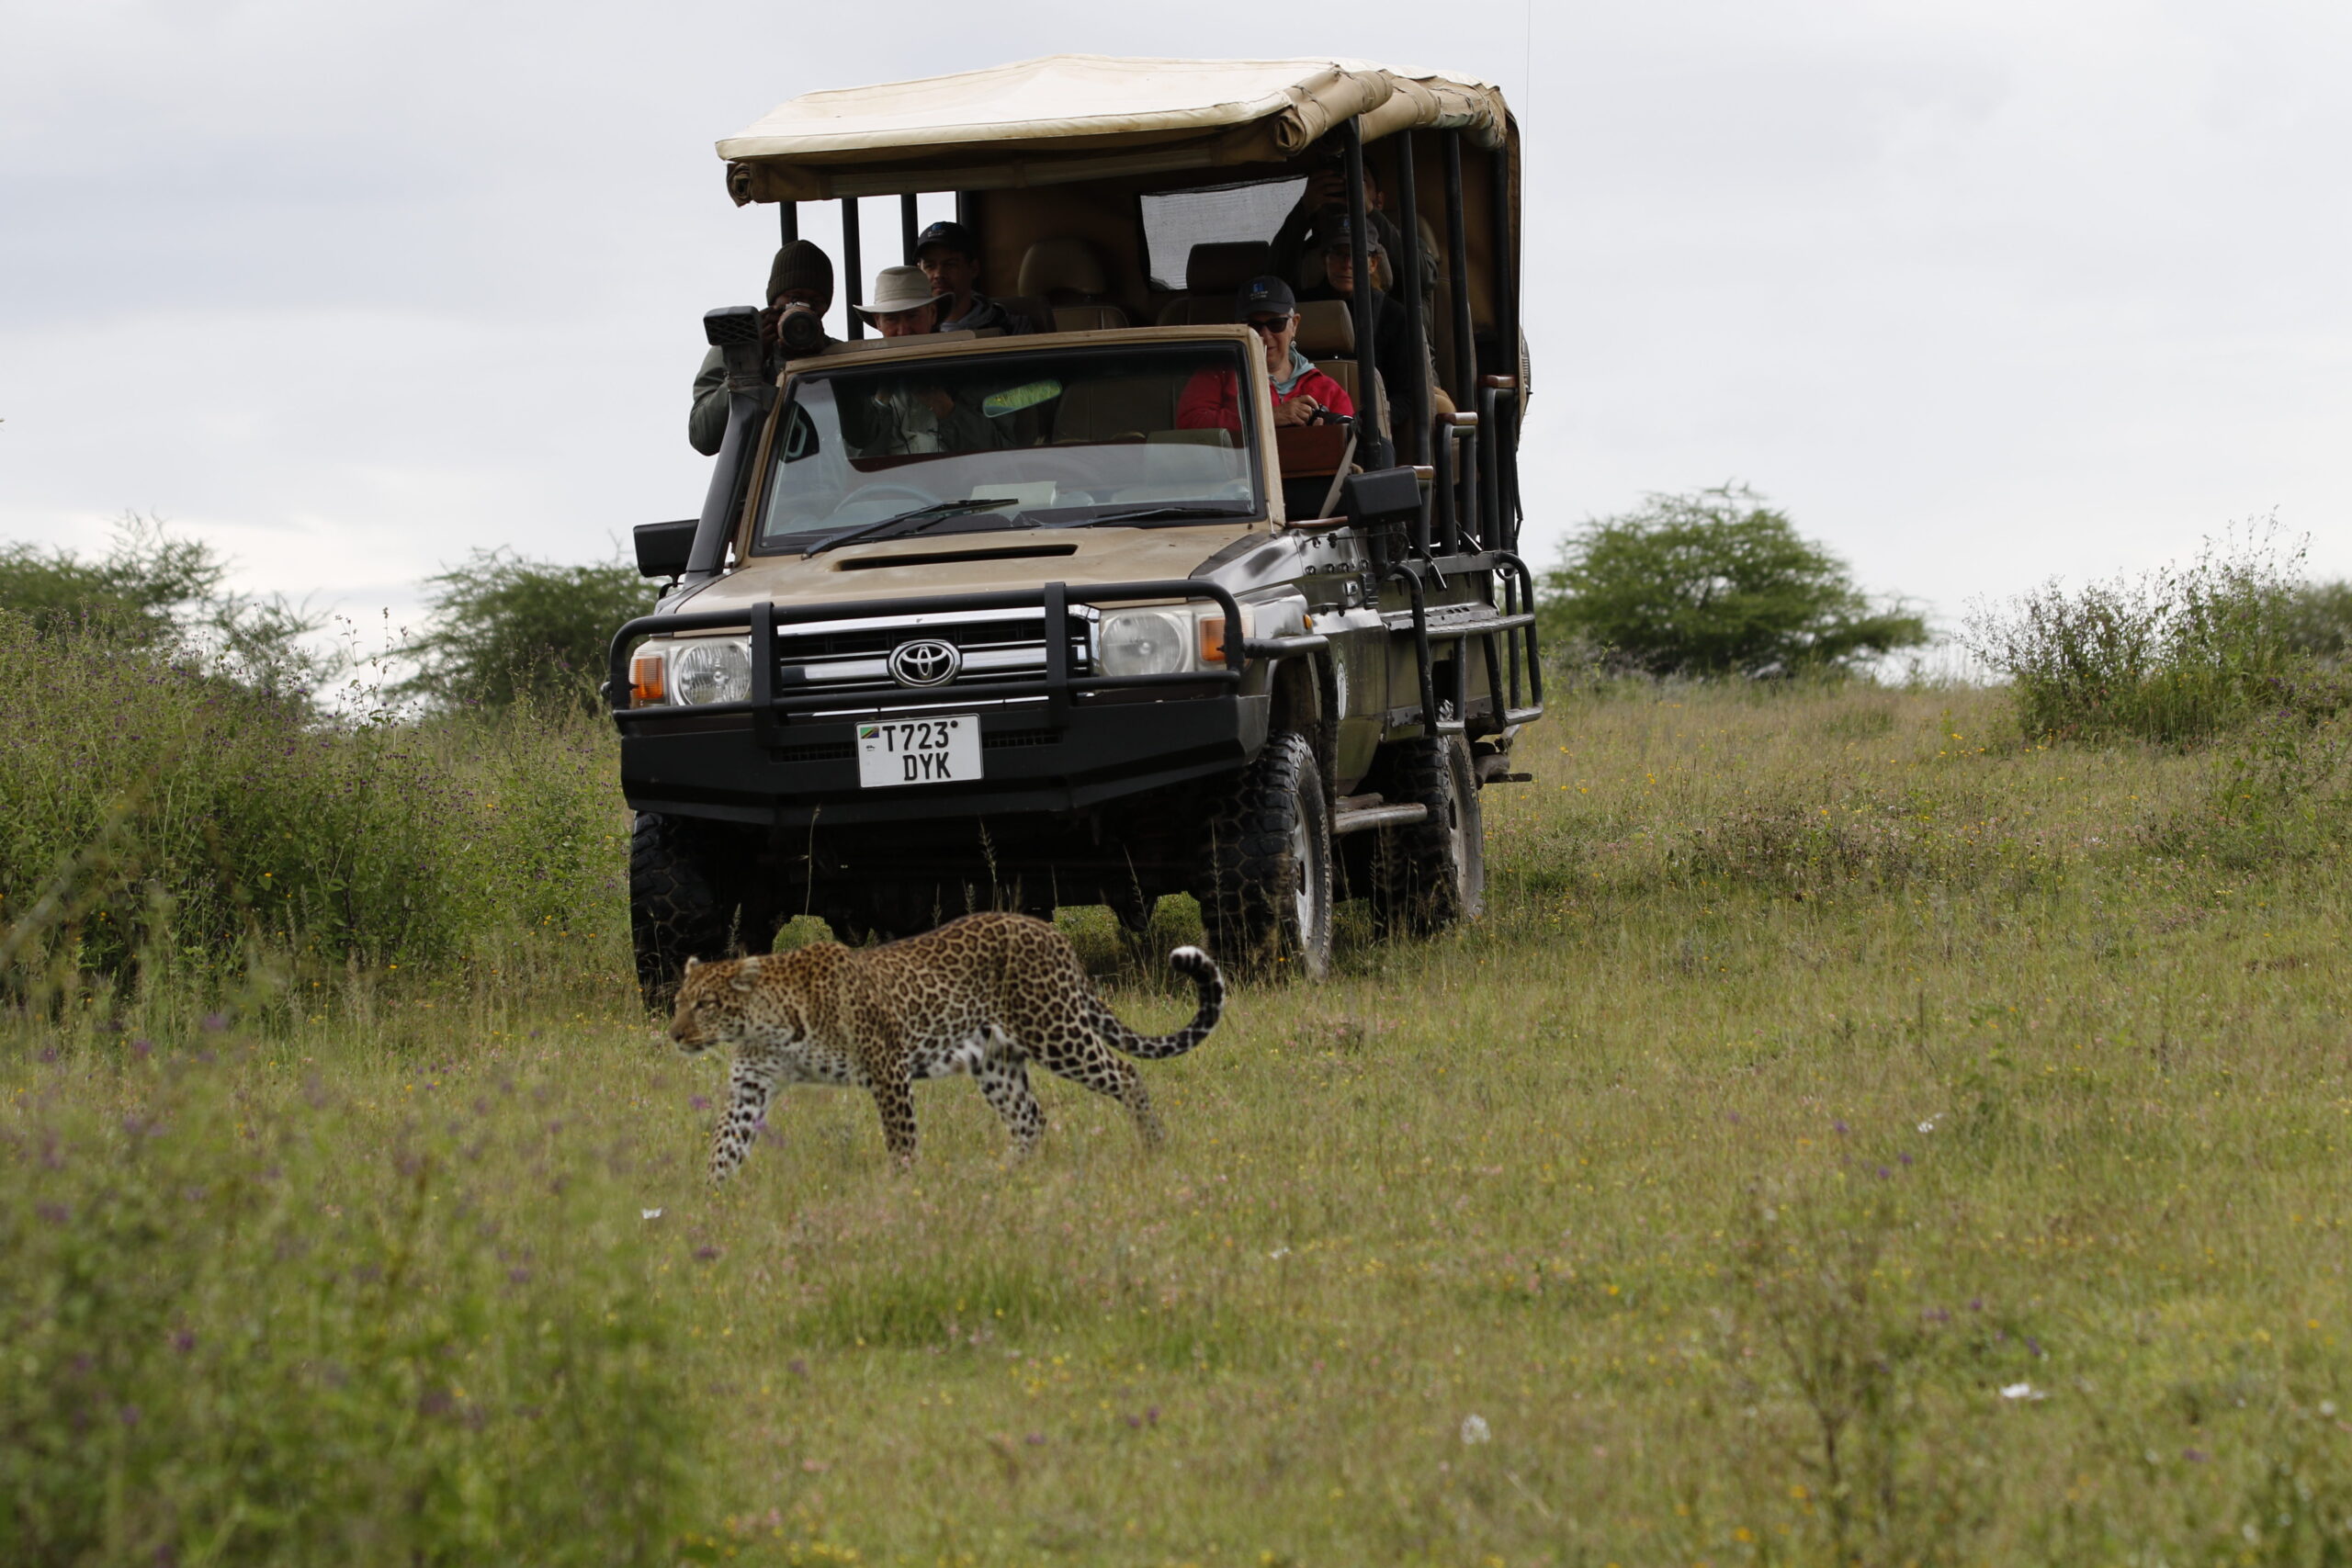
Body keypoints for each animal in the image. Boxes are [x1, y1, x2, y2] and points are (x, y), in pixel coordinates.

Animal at [667, 911, 1225, 1182]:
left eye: (706, 1004)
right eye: (678, 1002)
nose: (674, 1034)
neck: (763, 1025)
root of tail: (1054, 935)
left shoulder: (887, 1068)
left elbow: (901, 1142)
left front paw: (902, 1193)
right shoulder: (751, 1085)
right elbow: (725, 1146)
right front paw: (709, 1203)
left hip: (1054, 1028)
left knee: (1127, 1074)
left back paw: (1154, 1147)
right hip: (996, 1061)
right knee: (1030, 1118)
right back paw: (1002, 1177)